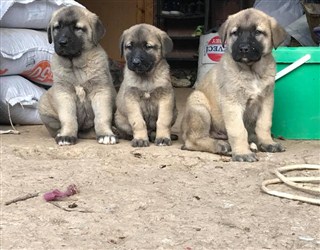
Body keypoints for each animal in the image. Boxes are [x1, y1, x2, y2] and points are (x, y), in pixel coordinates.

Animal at [37, 5, 117, 146]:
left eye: (77, 28)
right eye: (57, 27)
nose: (62, 42)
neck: (75, 66)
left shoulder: (101, 91)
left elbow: (102, 116)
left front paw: (105, 134)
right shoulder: (64, 93)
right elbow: (68, 117)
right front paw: (66, 135)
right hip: (44, 104)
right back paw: (60, 132)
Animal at [180, 8, 288, 162]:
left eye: (257, 32)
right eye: (235, 33)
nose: (243, 48)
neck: (251, 71)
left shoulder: (266, 100)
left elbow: (264, 124)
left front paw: (268, 143)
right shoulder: (232, 102)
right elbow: (238, 130)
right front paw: (242, 153)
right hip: (198, 104)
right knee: (192, 140)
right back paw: (220, 145)